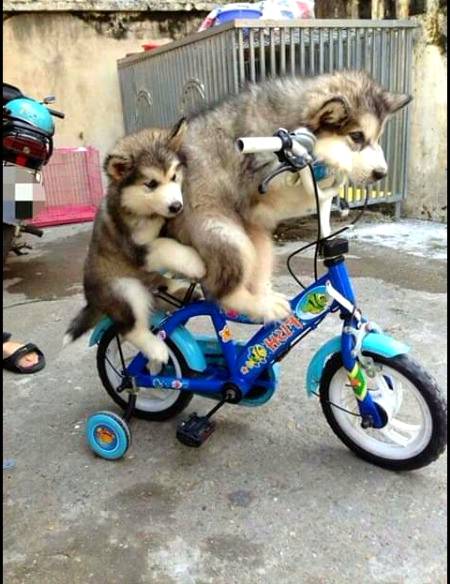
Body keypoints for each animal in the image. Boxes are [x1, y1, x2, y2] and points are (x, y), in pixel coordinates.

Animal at [64, 120, 206, 366]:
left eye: (174, 176)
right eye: (151, 184)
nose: (176, 207)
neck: (146, 212)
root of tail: (92, 301)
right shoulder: (136, 248)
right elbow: (166, 246)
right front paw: (194, 262)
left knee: (159, 284)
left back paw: (178, 290)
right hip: (126, 290)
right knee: (130, 328)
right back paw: (156, 349)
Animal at [166, 69, 412, 323]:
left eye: (377, 138)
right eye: (356, 136)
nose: (381, 173)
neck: (288, 120)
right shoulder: (261, 184)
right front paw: (336, 160)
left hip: (257, 236)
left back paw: (266, 299)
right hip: (223, 232)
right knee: (220, 292)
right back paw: (258, 305)